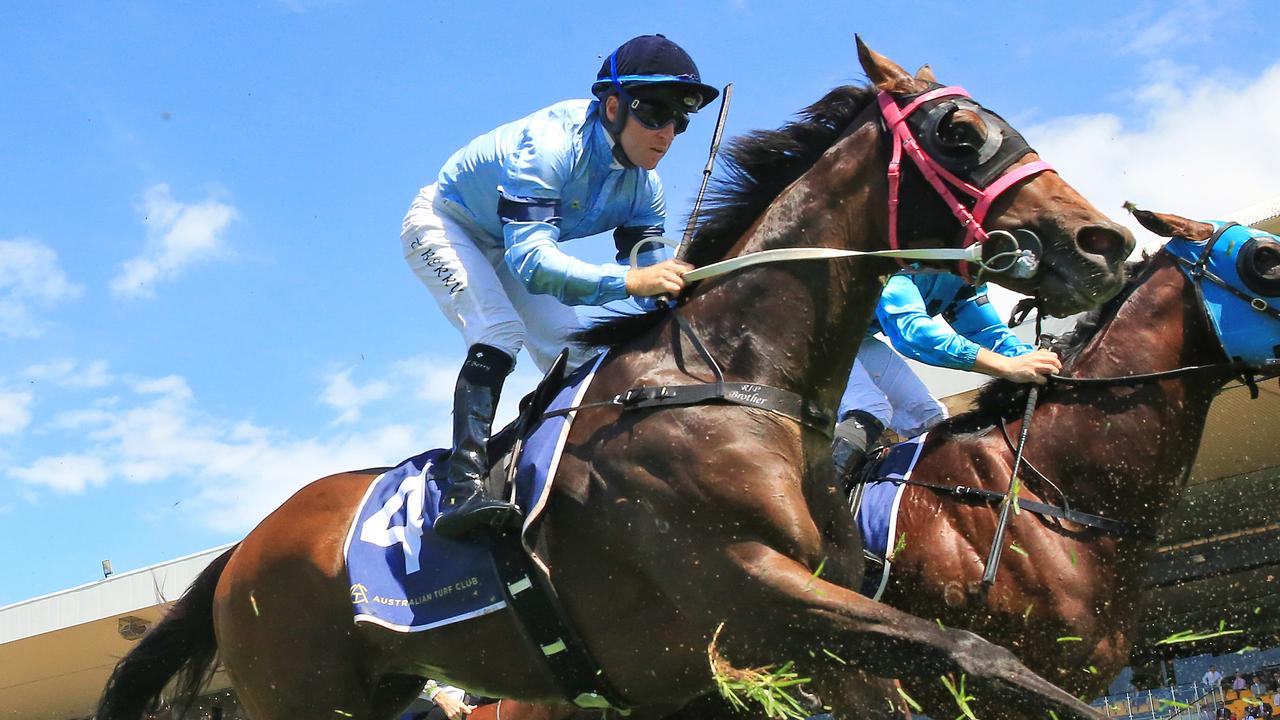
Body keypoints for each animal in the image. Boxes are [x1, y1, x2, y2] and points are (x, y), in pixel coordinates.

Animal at [97, 39, 1131, 717]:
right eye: (959, 132)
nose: (1104, 241)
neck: (737, 383)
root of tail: (241, 550)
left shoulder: (816, 632)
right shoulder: (756, 596)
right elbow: (976, 653)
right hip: (305, 696)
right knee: (493, 334)